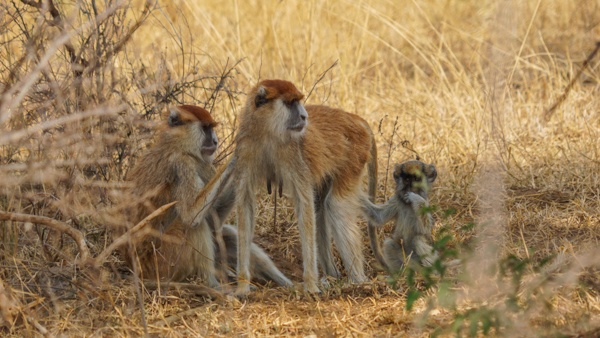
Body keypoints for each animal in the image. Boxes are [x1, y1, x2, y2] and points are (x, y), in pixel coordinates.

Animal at [120, 103, 292, 288]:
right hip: (163, 264)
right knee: (193, 226)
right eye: (205, 128)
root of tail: (136, 269)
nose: (215, 141)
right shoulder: (182, 166)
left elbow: (214, 219)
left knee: (227, 234)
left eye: (211, 127)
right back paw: (213, 284)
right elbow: (192, 215)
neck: (177, 145)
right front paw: (240, 150)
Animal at [232, 79, 378, 296]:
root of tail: (355, 118)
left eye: (298, 101)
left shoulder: (294, 156)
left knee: (335, 206)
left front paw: (310, 285)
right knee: (322, 206)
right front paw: (242, 286)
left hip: (355, 154)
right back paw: (333, 276)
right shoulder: (245, 149)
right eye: (290, 103)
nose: (304, 116)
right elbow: (245, 205)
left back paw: (358, 281)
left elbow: (304, 206)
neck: (268, 132)